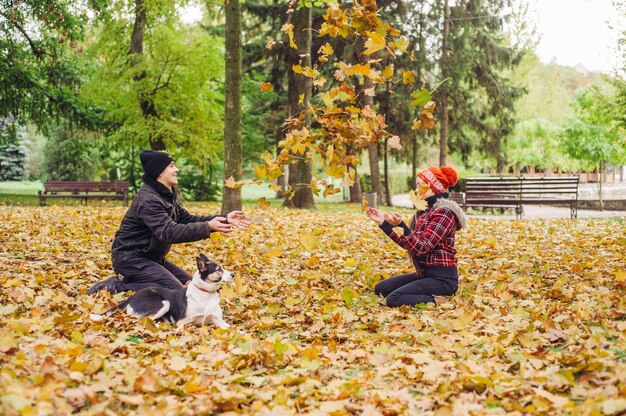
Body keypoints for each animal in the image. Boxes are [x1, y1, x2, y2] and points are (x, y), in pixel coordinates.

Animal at [89, 254, 232, 328]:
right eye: (219, 269)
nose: (233, 274)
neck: (205, 294)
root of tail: (132, 296)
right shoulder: (181, 322)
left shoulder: (217, 319)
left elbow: (231, 328)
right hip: (163, 303)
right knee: (139, 319)